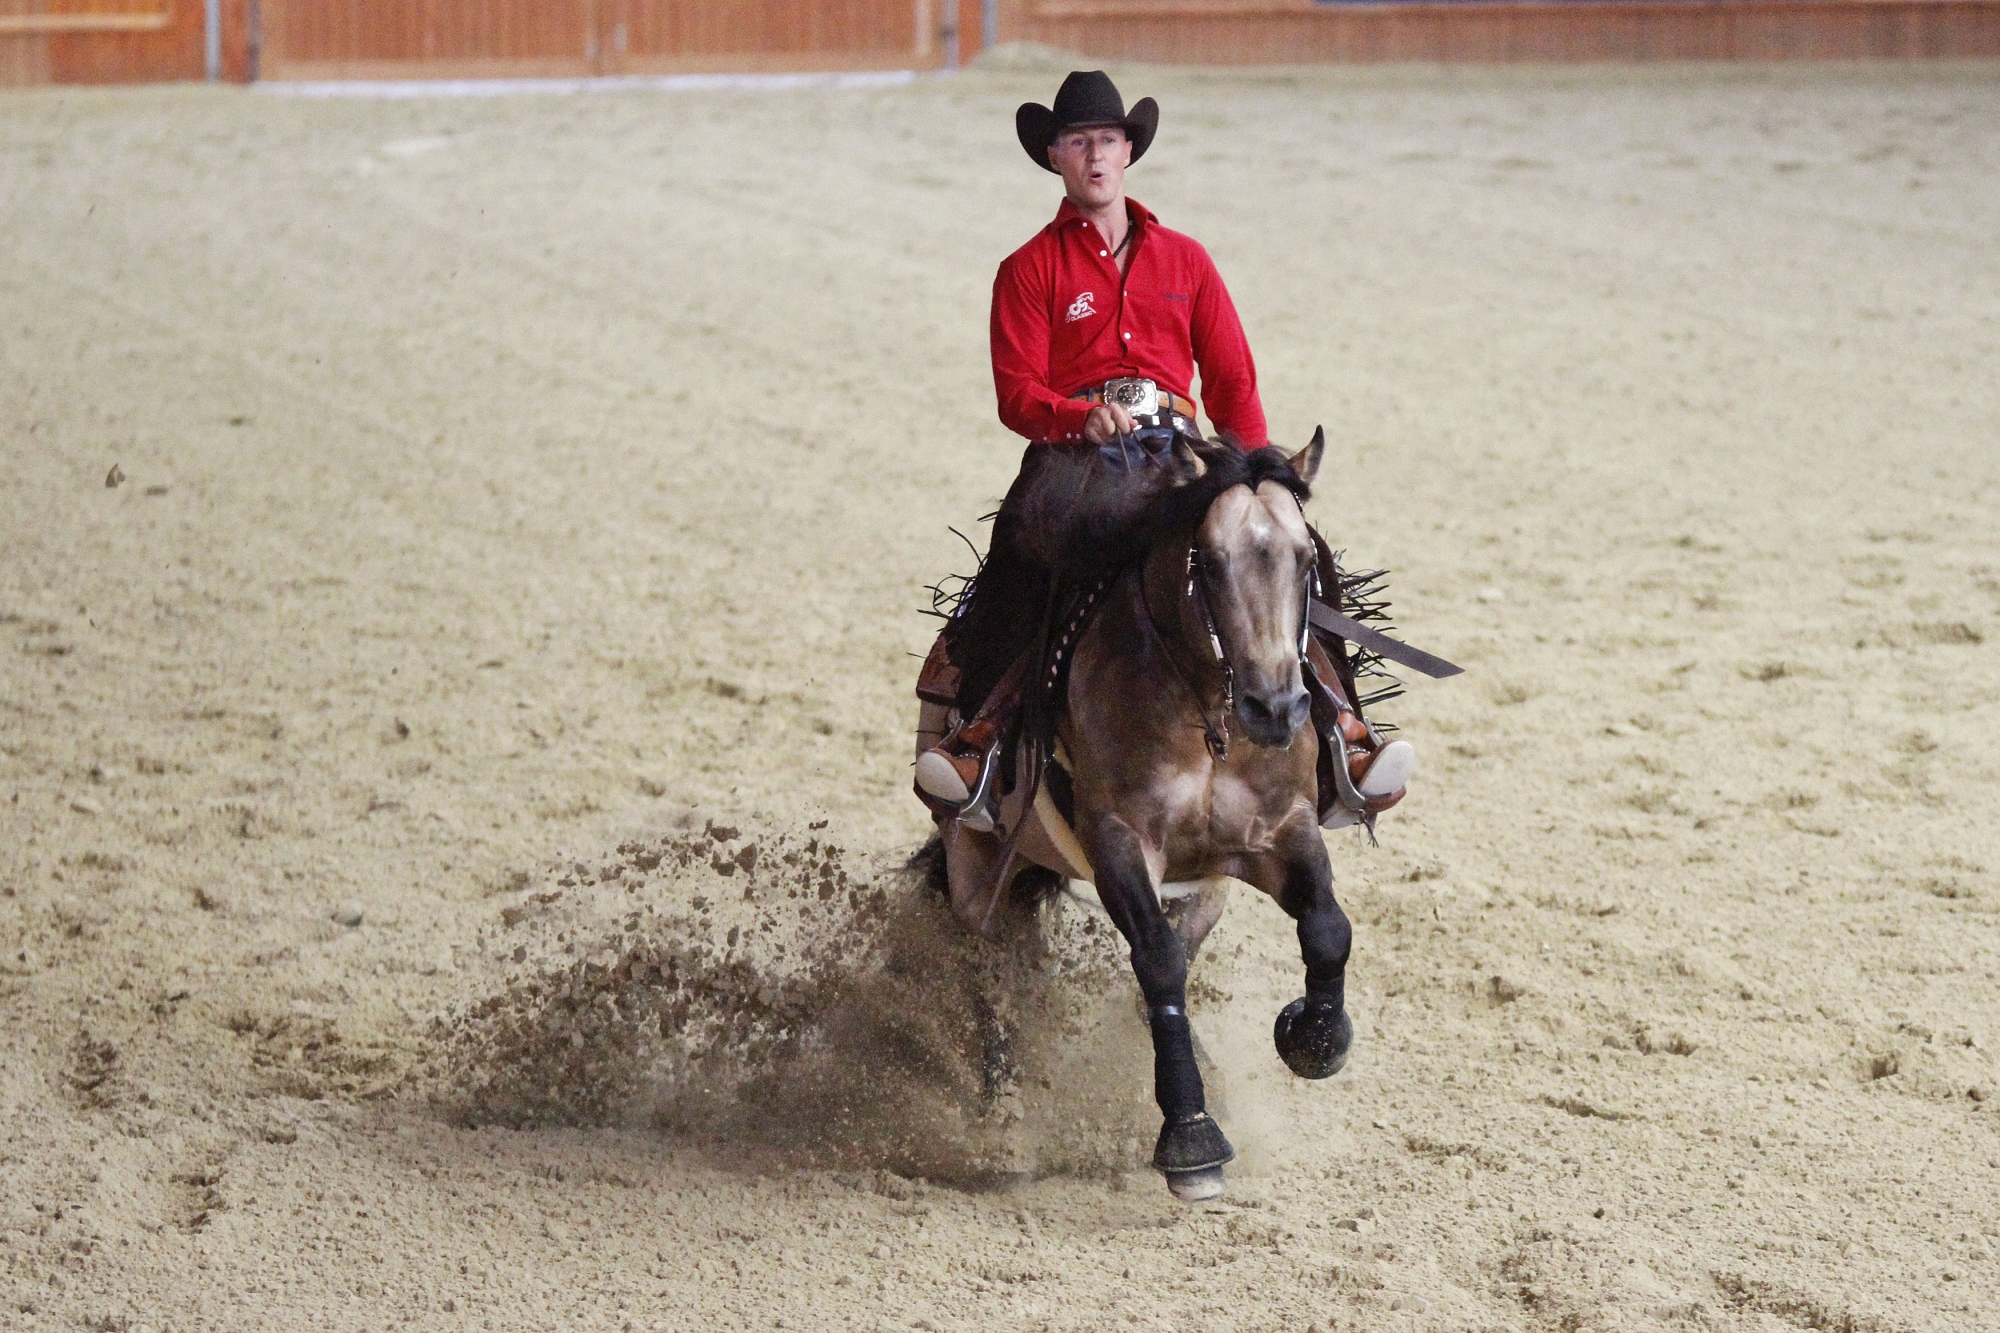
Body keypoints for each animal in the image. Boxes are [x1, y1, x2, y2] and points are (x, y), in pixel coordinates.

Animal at [916, 430, 1360, 1200]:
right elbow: (1156, 961)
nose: (1276, 709)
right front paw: (1191, 1138)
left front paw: (1312, 1039)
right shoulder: (1118, 843)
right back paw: (1002, 1122)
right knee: (990, 967)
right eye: (1208, 561)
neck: (1207, 719)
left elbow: (1327, 927)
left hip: (1203, 889)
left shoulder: (1279, 830)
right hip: (977, 867)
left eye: (1308, 559)